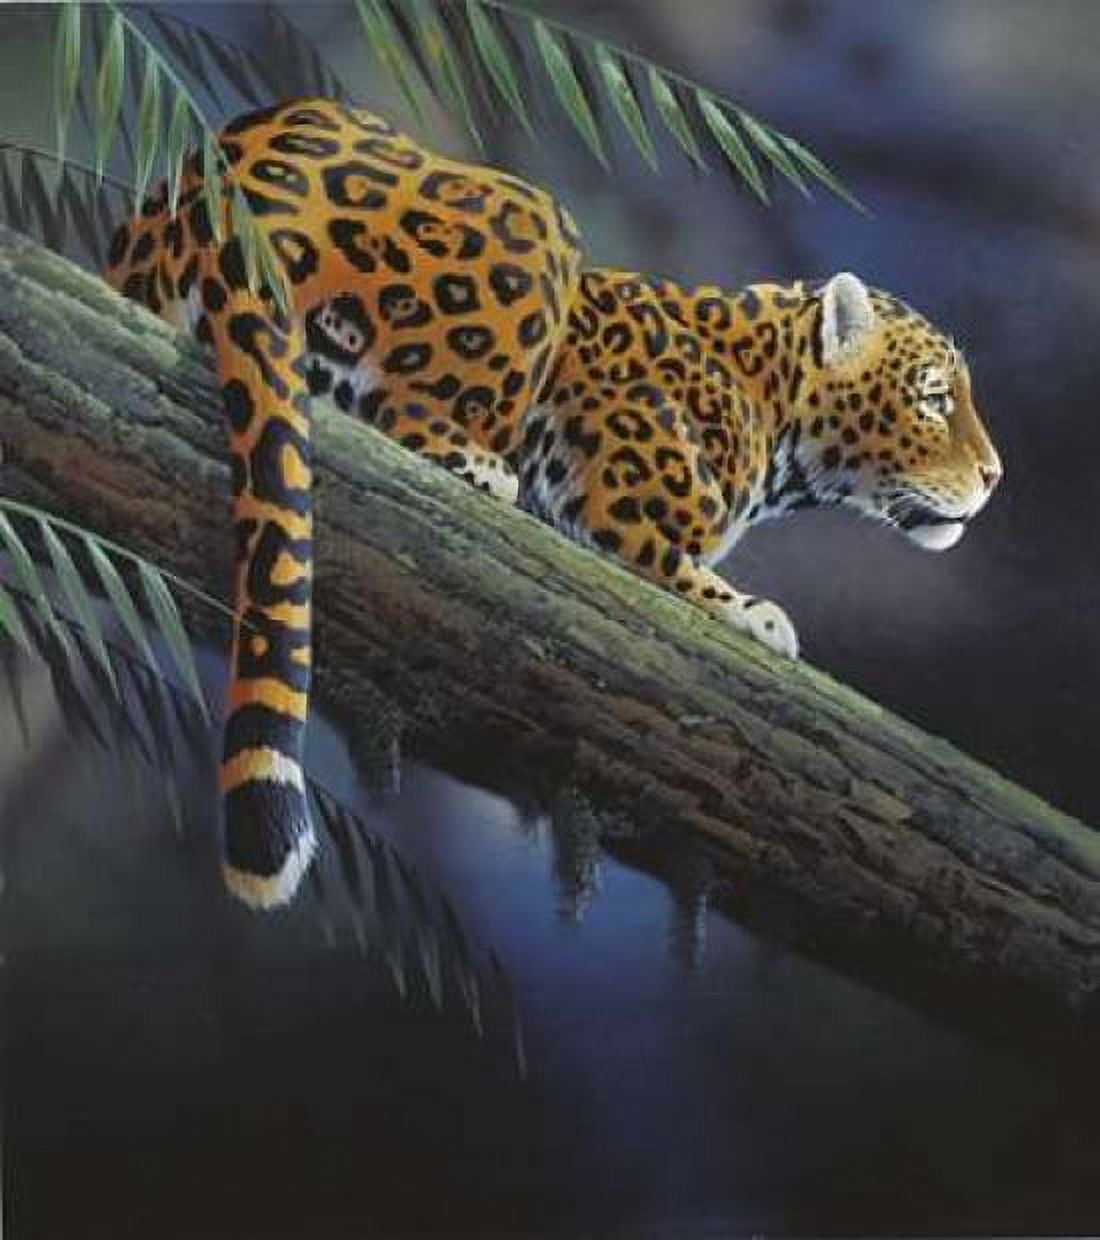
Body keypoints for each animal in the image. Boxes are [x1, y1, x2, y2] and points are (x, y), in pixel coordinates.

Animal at [104, 96, 1002, 910]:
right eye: (933, 398)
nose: (995, 475)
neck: (773, 404)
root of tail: (226, 194)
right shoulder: (616, 496)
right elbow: (677, 567)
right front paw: (755, 613)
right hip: (539, 227)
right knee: (407, 413)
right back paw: (484, 467)